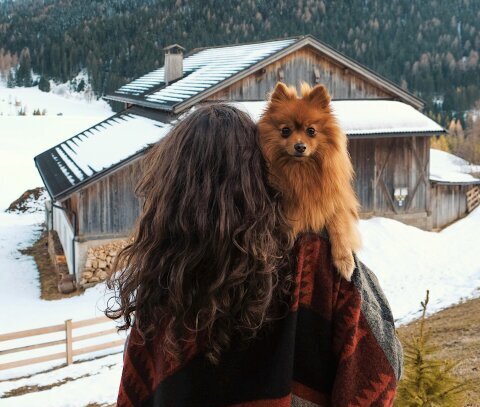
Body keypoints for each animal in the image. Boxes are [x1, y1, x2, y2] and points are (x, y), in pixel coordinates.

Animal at [258, 81, 360, 282]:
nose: (300, 146)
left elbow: (339, 225)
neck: (302, 170)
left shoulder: (336, 201)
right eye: (285, 131)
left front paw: (344, 260)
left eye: (311, 131)